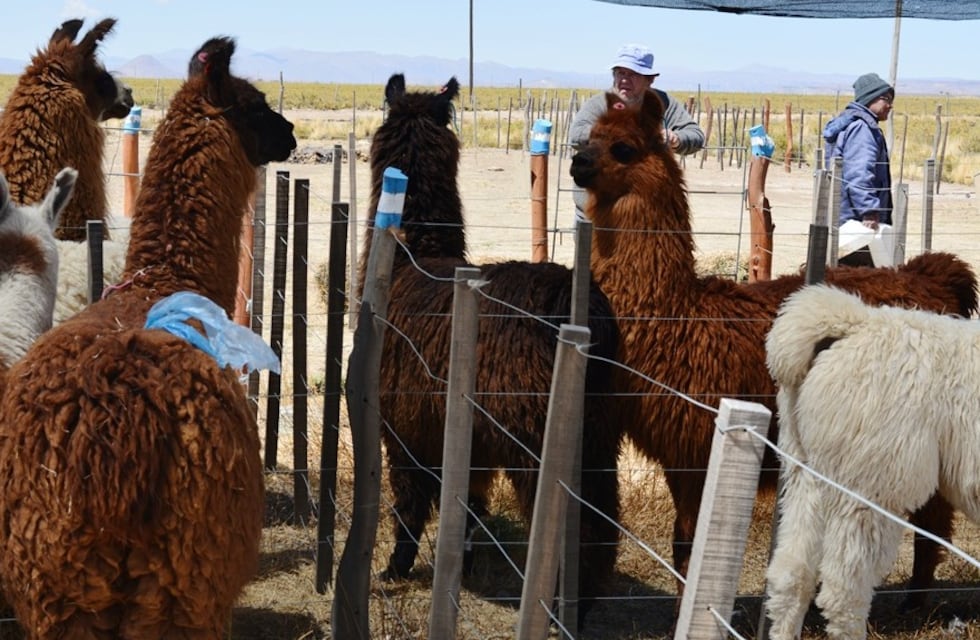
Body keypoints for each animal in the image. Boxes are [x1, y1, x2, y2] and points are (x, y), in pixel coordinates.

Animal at [362, 73, 622, 624]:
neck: (409, 262)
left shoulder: (404, 424)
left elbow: (411, 499)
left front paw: (396, 567)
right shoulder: (462, 431)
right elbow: (468, 503)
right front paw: (463, 561)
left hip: (535, 428)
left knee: (568, 515)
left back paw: (554, 608)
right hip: (600, 424)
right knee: (600, 516)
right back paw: (581, 604)